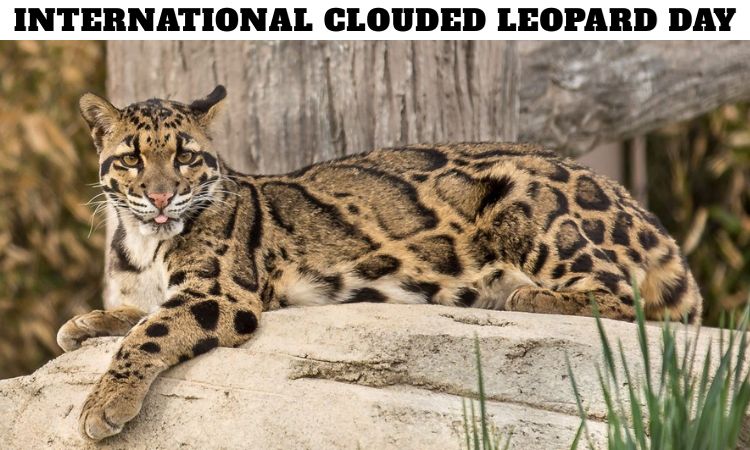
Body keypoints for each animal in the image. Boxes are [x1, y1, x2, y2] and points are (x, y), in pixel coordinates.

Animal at [57, 85, 702, 441]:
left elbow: (150, 333)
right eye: (132, 159)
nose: (162, 196)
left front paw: (104, 403)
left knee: (630, 298)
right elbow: (134, 316)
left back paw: (526, 294)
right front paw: (86, 323)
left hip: (528, 204)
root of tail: (626, 196)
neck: (142, 239)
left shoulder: (222, 293)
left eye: (186, 157)